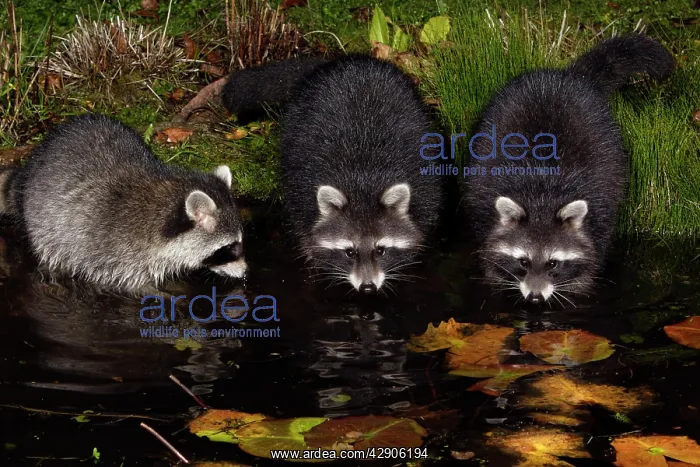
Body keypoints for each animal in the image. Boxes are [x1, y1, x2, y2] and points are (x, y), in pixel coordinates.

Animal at [0, 114, 246, 291]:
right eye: (229, 247)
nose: (246, 273)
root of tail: (30, 168)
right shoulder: (117, 256)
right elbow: (133, 286)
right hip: (46, 227)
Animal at [223, 55, 442, 293]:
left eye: (380, 250)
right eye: (350, 252)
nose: (367, 288)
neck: (363, 184)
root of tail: (346, 60)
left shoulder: (423, 185)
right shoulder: (303, 188)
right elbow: (306, 229)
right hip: (297, 122)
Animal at [464, 34, 675, 305]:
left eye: (553, 263)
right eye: (523, 262)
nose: (535, 298)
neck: (542, 198)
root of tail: (569, 76)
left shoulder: (599, 215)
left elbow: (588, 261)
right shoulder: (485, 209)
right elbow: (491, 258)